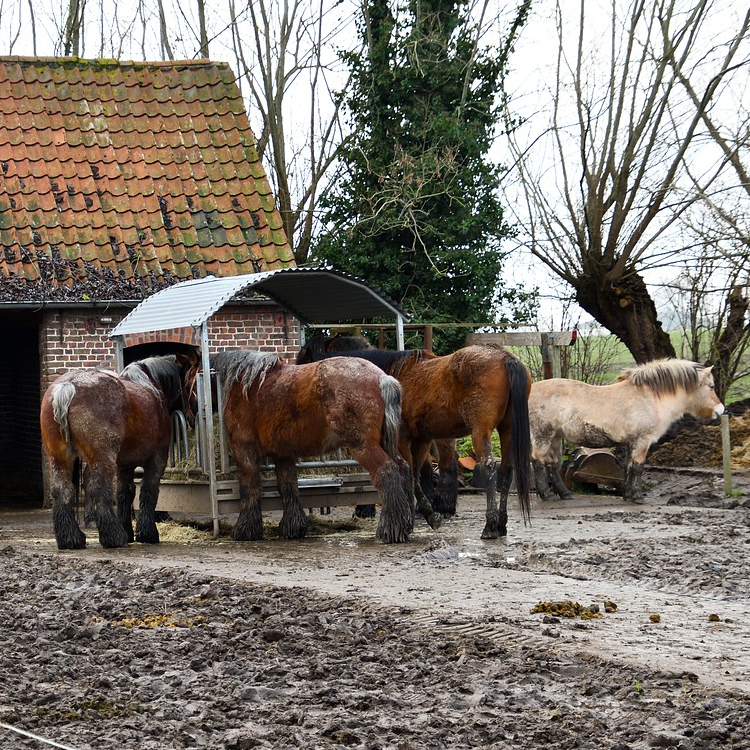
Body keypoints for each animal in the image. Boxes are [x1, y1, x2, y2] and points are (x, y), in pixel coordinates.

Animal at [38, 356, 192, 548]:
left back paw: (71, 539)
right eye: (186, 387)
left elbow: (125, 493)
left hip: (60, 458)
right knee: (98, 489)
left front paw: (129, 531)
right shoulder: (157, 459)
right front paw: (147, 533)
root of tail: (67, 387)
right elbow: (148, 491)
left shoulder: (125, 464)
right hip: (102, 458)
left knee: (62, 490)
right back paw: (113, 536)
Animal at [207, 352, 418, 548]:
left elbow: (249, 486)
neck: (245, 384)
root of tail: (382, 378)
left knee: (387, 471)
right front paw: (293, 528)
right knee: (403, 469)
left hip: (363, 446)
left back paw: (389, 530)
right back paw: (406, 525)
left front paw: (245, 530)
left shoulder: (244, 450)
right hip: (386, 443)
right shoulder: (283, 454)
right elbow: (288, 486)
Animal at [296, 344, 532, 544]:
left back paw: (490, 525)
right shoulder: (421, 440)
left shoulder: (402, 439)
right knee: (506, 471)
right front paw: (428, 515)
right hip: (506, 430)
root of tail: (505, 357)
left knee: (490, 467)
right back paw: (501, 524)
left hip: (480, 429)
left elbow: (408, 474)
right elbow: (416, 476)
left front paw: (409, 519)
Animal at [528, 360, 728, 506]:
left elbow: (630, 467)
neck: (650, 397)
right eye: (711, 386)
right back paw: (546, 494)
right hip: (542, 435)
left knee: (552, 464)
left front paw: (628, 494)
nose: (721, 410)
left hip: (555, 437)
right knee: (537, 462)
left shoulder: (632, 442)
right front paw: (638, 496)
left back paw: (564, 493)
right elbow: (638, 467)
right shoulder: (643, 441)